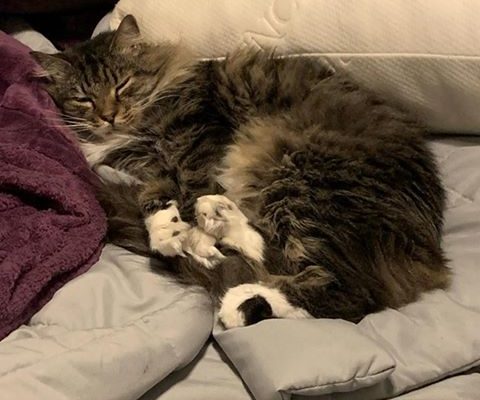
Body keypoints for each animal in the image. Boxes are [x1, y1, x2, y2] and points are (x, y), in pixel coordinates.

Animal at [32, 14, 450, 328]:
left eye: (122, 86)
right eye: (84, 99)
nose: (108, 116)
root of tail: (426, 253)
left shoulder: (200, 143)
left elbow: (188, 190)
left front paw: (194, 241)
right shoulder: (151, 166)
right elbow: (157, 199)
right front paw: (170, 233)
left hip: (297, 173)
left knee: (349, 293)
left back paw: (238, 300)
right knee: (276, 253)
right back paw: (221, 221)